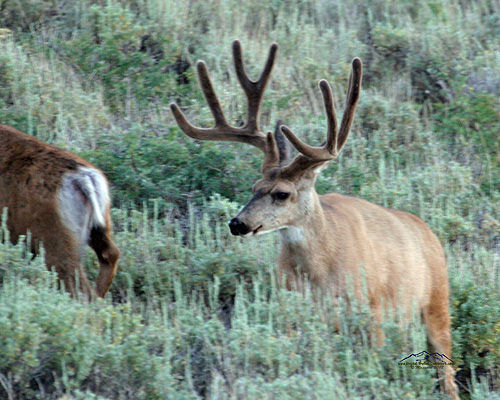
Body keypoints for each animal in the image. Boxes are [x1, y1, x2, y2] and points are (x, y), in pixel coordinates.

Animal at [170, 40, 458, 400]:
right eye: (254, 187)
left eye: (281, 193)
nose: (237, 223)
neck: (319, 273)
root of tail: (428, 232)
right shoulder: (290, 308)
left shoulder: (372, 310)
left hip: (437, 303)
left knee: (447, 373)